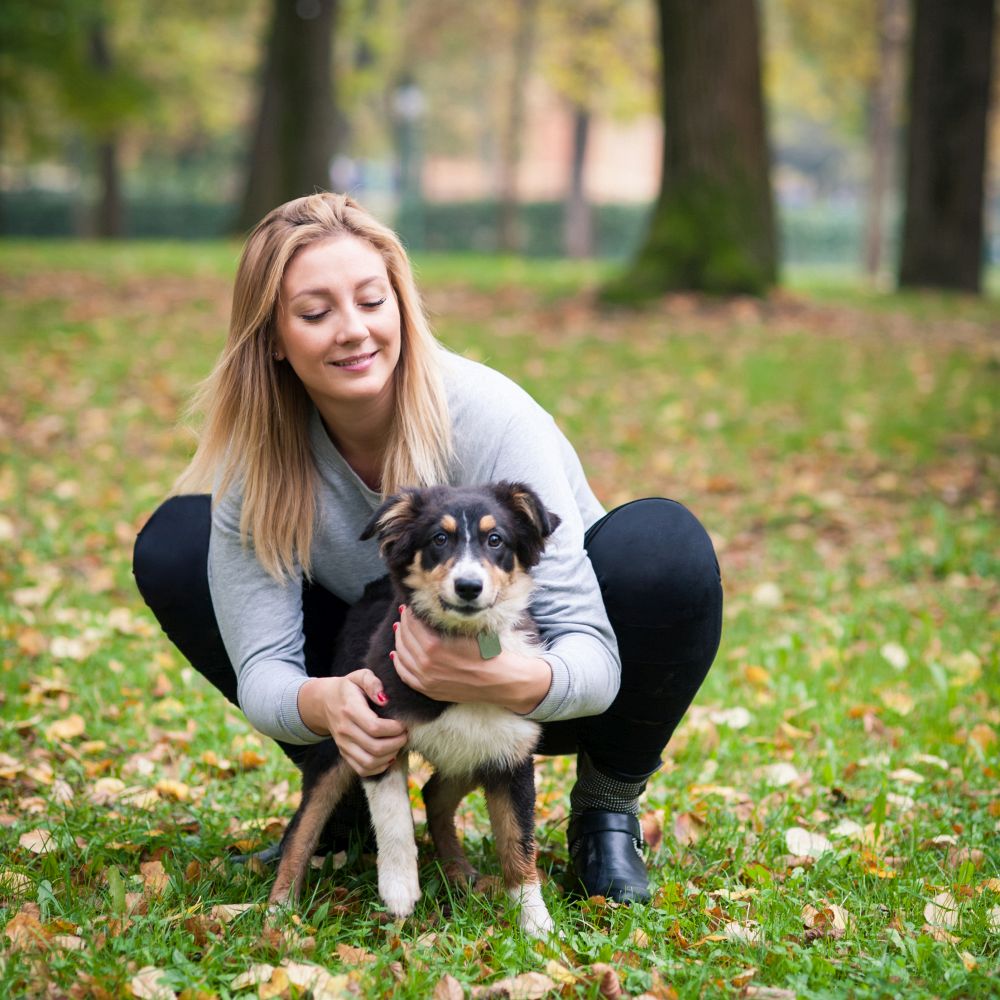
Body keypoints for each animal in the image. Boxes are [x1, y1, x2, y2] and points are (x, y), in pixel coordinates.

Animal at [270, 482, 560, 936]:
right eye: (438, 539)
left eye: (496, 540)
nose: (468, 586)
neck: (464, 641)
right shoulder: (374, 729)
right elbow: (393, 817)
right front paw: (399, 888)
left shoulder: (511, 756)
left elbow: (518, 843)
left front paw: (536, 924)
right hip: (337, 740)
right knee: (304, 826)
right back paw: (278, 910)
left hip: (473, 749)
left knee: (434, 793)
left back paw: (458, 873)